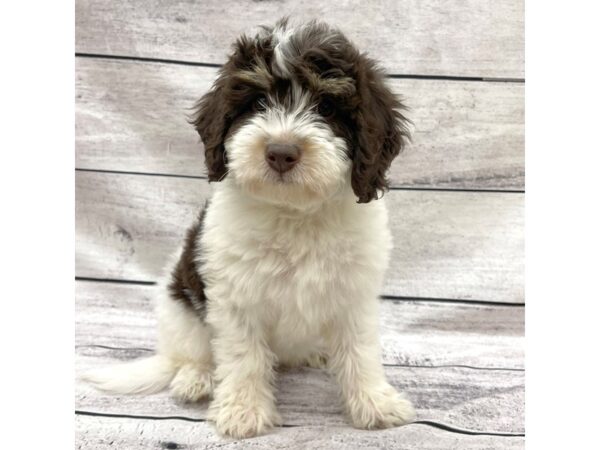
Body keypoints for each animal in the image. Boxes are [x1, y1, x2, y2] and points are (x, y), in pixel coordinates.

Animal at [82, 18, 414, 440]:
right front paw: (243, 411)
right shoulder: (235, 298)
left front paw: (375, 403)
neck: (293, 213)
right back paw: (196, 378)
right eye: (257, 104)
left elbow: (360, 350)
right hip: (181, 308)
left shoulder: (353, 295)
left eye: (326, 107)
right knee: (191, 353)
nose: (281, 152)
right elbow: (244, 356)